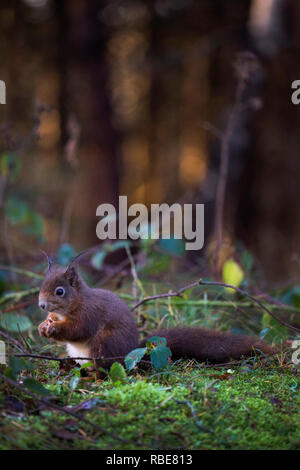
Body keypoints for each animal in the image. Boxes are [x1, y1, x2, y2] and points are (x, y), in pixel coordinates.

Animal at [38, 258, 276, 368]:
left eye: (60, 291)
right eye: (42, 285)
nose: (41, 305)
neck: (72, 306)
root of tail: (130, 352)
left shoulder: (90, 314)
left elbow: (79, 330)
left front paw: (54, 329)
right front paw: (44, 325)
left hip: (103, 346)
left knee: (105, 369)